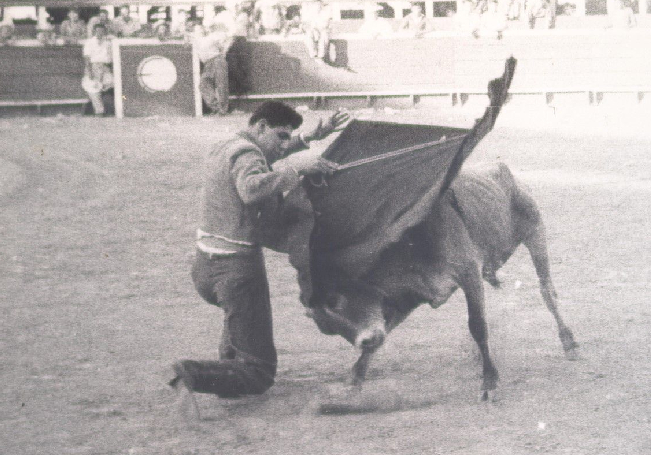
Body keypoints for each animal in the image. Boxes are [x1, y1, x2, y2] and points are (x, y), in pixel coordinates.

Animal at [294, 162, 579, 400]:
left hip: (536, 233)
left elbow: (478, 325)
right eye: (328, 328)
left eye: (336, 301)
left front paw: (489, 382)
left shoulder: (469, 273)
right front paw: (354, 379)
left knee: (547, 292)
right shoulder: (406, 299)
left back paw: (569, 343)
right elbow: (386, 332)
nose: (366, 339)